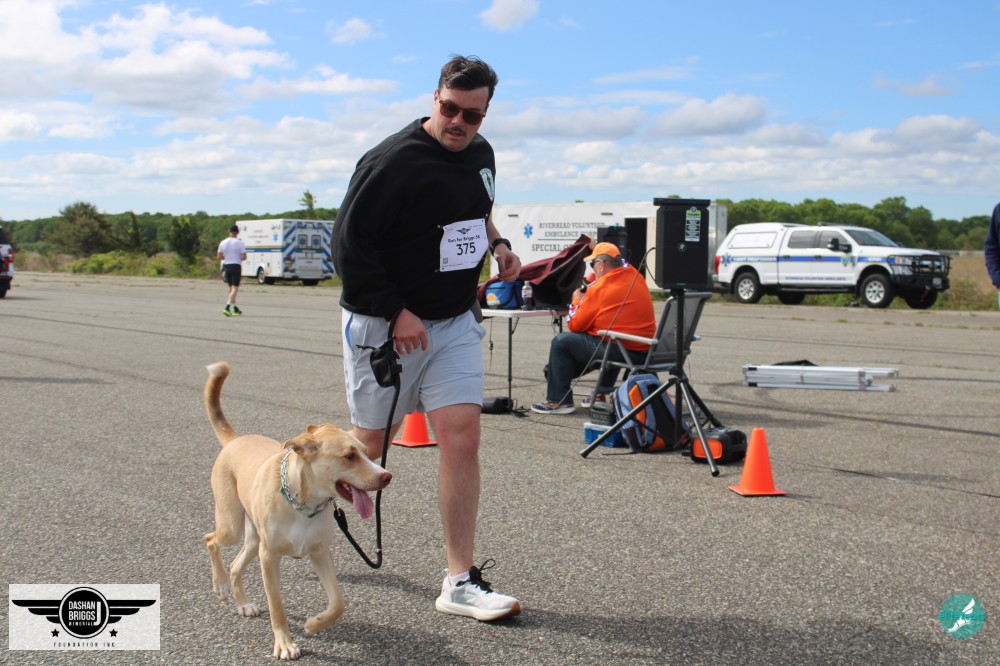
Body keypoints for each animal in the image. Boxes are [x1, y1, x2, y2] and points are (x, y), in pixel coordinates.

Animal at [203, 361, 391, 660]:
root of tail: (234, 440)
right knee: (211, 540)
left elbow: (338, 603)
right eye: (349, 456)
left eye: (364, 451)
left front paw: (314, 624)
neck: (304, 504)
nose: (386, 476)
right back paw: (220, 584)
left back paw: (243, 603)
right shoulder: (269, 557)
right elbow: (277, 607)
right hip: (231, 526)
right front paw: (285, 644)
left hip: (253, 539)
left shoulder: (319, 551)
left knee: (235, 565)